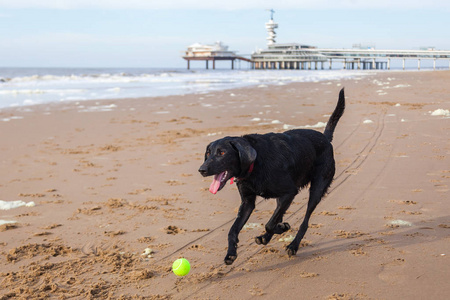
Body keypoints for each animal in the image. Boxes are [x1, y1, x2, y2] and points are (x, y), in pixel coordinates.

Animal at [199, 88, 346, 264]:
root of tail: (326, 139)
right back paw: (270, 236)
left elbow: (270, 223)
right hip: (283, 197)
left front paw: (281, 229)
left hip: (317, 189)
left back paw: (293, 245)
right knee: (279, 215)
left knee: (304, 221)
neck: (255, 164)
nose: (202, 169)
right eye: (208, 153)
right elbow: (233, 229)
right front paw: (231, 253)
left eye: (222, 153)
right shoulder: (248, 202)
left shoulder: (290, 192)